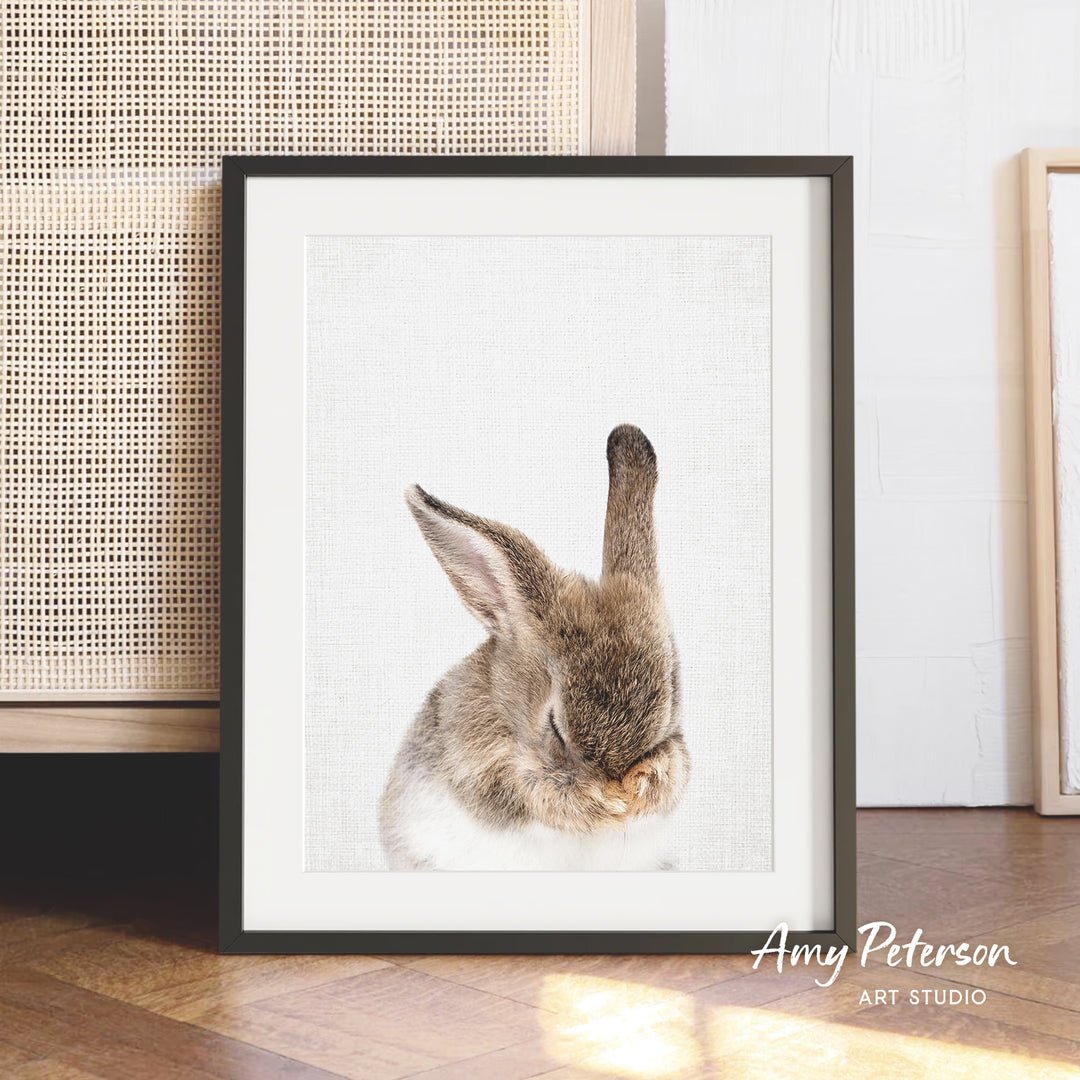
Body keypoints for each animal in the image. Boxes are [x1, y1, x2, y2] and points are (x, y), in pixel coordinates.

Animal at [378, 424, 690, 871]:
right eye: (554, 726)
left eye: (671, 699)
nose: (618, 782)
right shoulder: (486, 773)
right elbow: (534, 793)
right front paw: (604, 803)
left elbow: (675, 767)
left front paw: (642, 788)